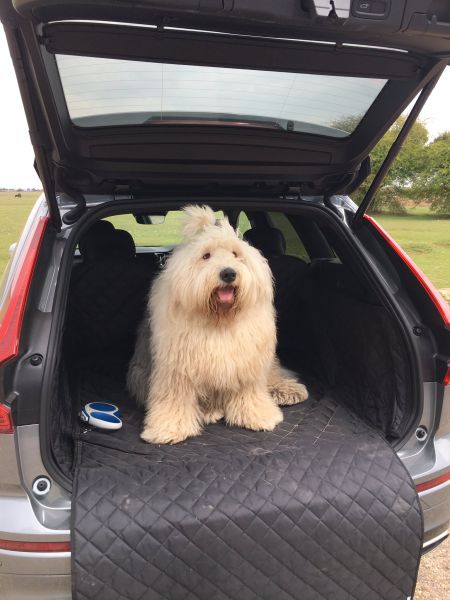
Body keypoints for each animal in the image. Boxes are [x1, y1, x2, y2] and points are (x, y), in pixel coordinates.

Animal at [128, 206, 308, 446]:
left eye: (235, 254)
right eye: (206, 256)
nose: (228, 273)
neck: (219, 319)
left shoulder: (247, 365)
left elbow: (250, 393)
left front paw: (259, 416)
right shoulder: (176, 370)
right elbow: (174, 400)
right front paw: (168, 429)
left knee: (275, 375)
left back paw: (289, 390)